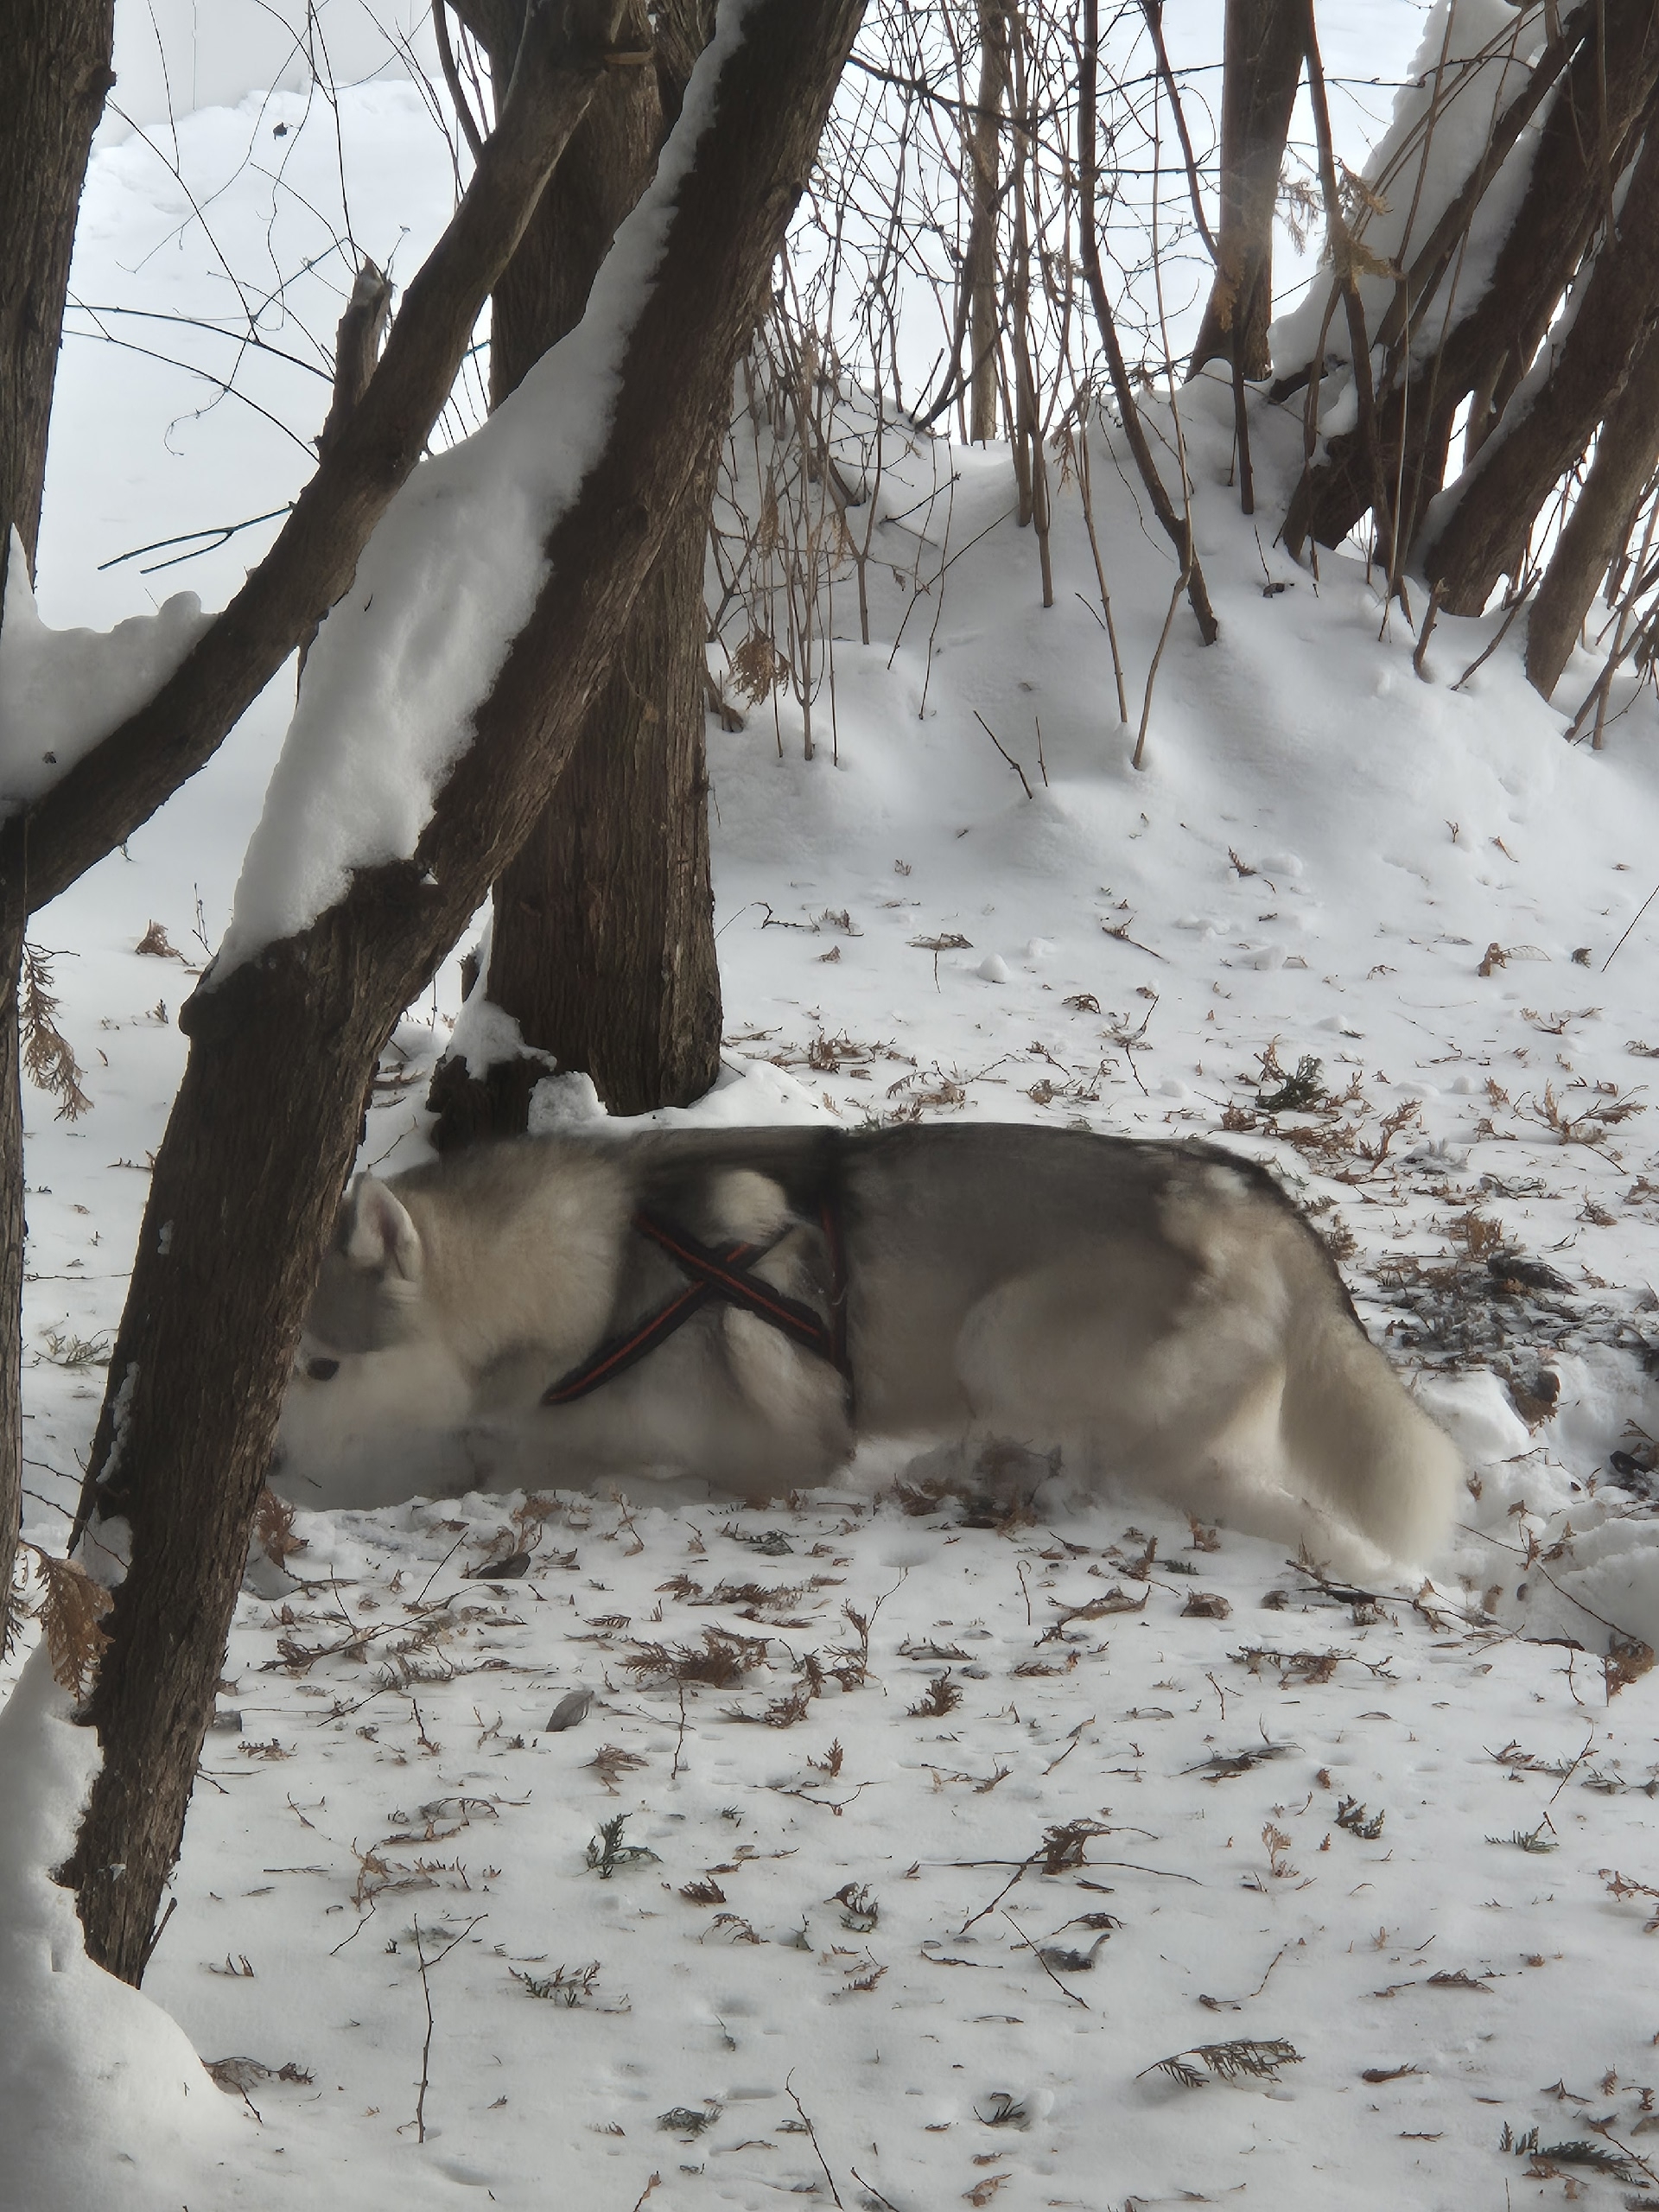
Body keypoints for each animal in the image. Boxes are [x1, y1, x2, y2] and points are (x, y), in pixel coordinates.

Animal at [273, 1122, 1461, 1574]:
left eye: (323, 1365)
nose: (271, 1459)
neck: (603, 1278)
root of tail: (1257, 1193)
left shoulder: (777, 1456)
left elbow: (622, 1479)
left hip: (999, 1336)